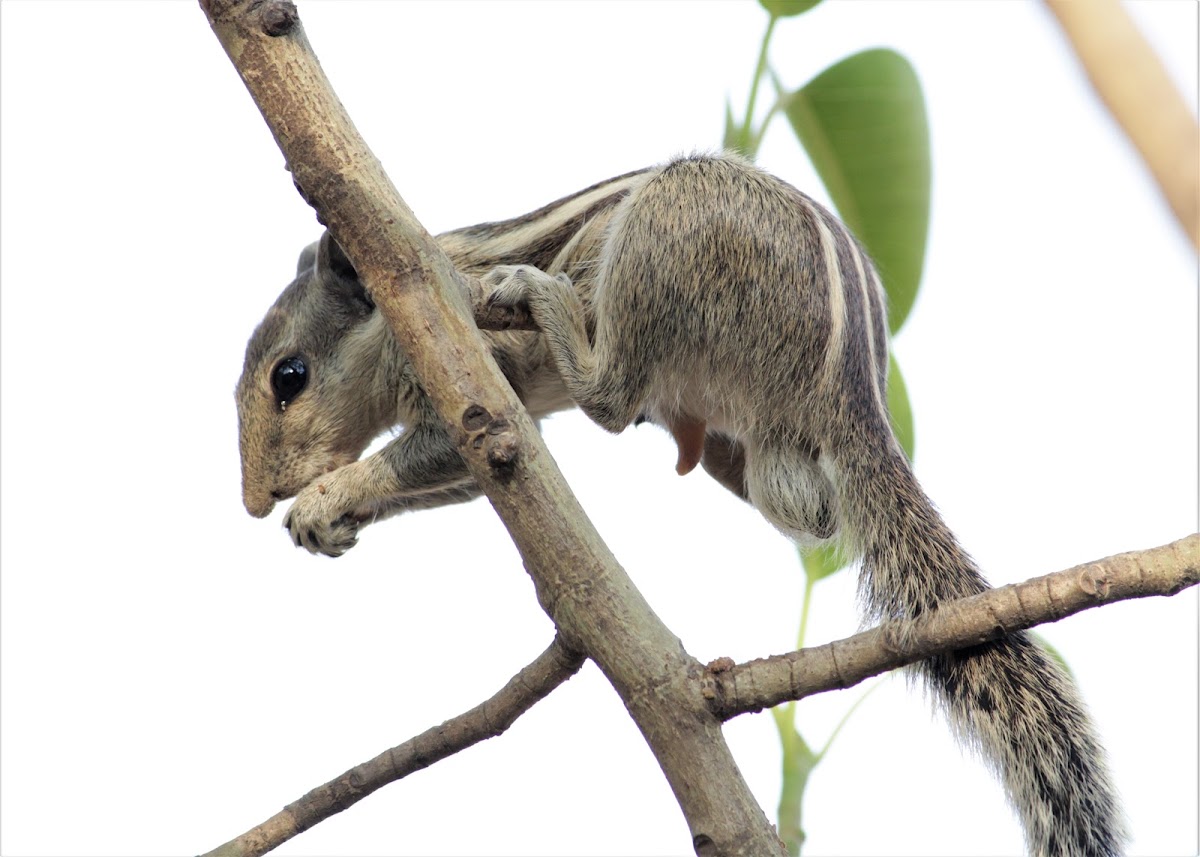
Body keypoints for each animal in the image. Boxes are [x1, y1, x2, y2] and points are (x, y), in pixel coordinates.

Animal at [236, 150, 1123, 849]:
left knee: (612, 395)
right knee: (806, 506)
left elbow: (463, 441)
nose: (254, 499)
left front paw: (327, 496)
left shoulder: (476, 378)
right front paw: (330, 519)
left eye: (290, 376)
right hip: (771, 451)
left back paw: (548, 299)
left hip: (669, 224)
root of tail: (855, 384)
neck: (402, 301)